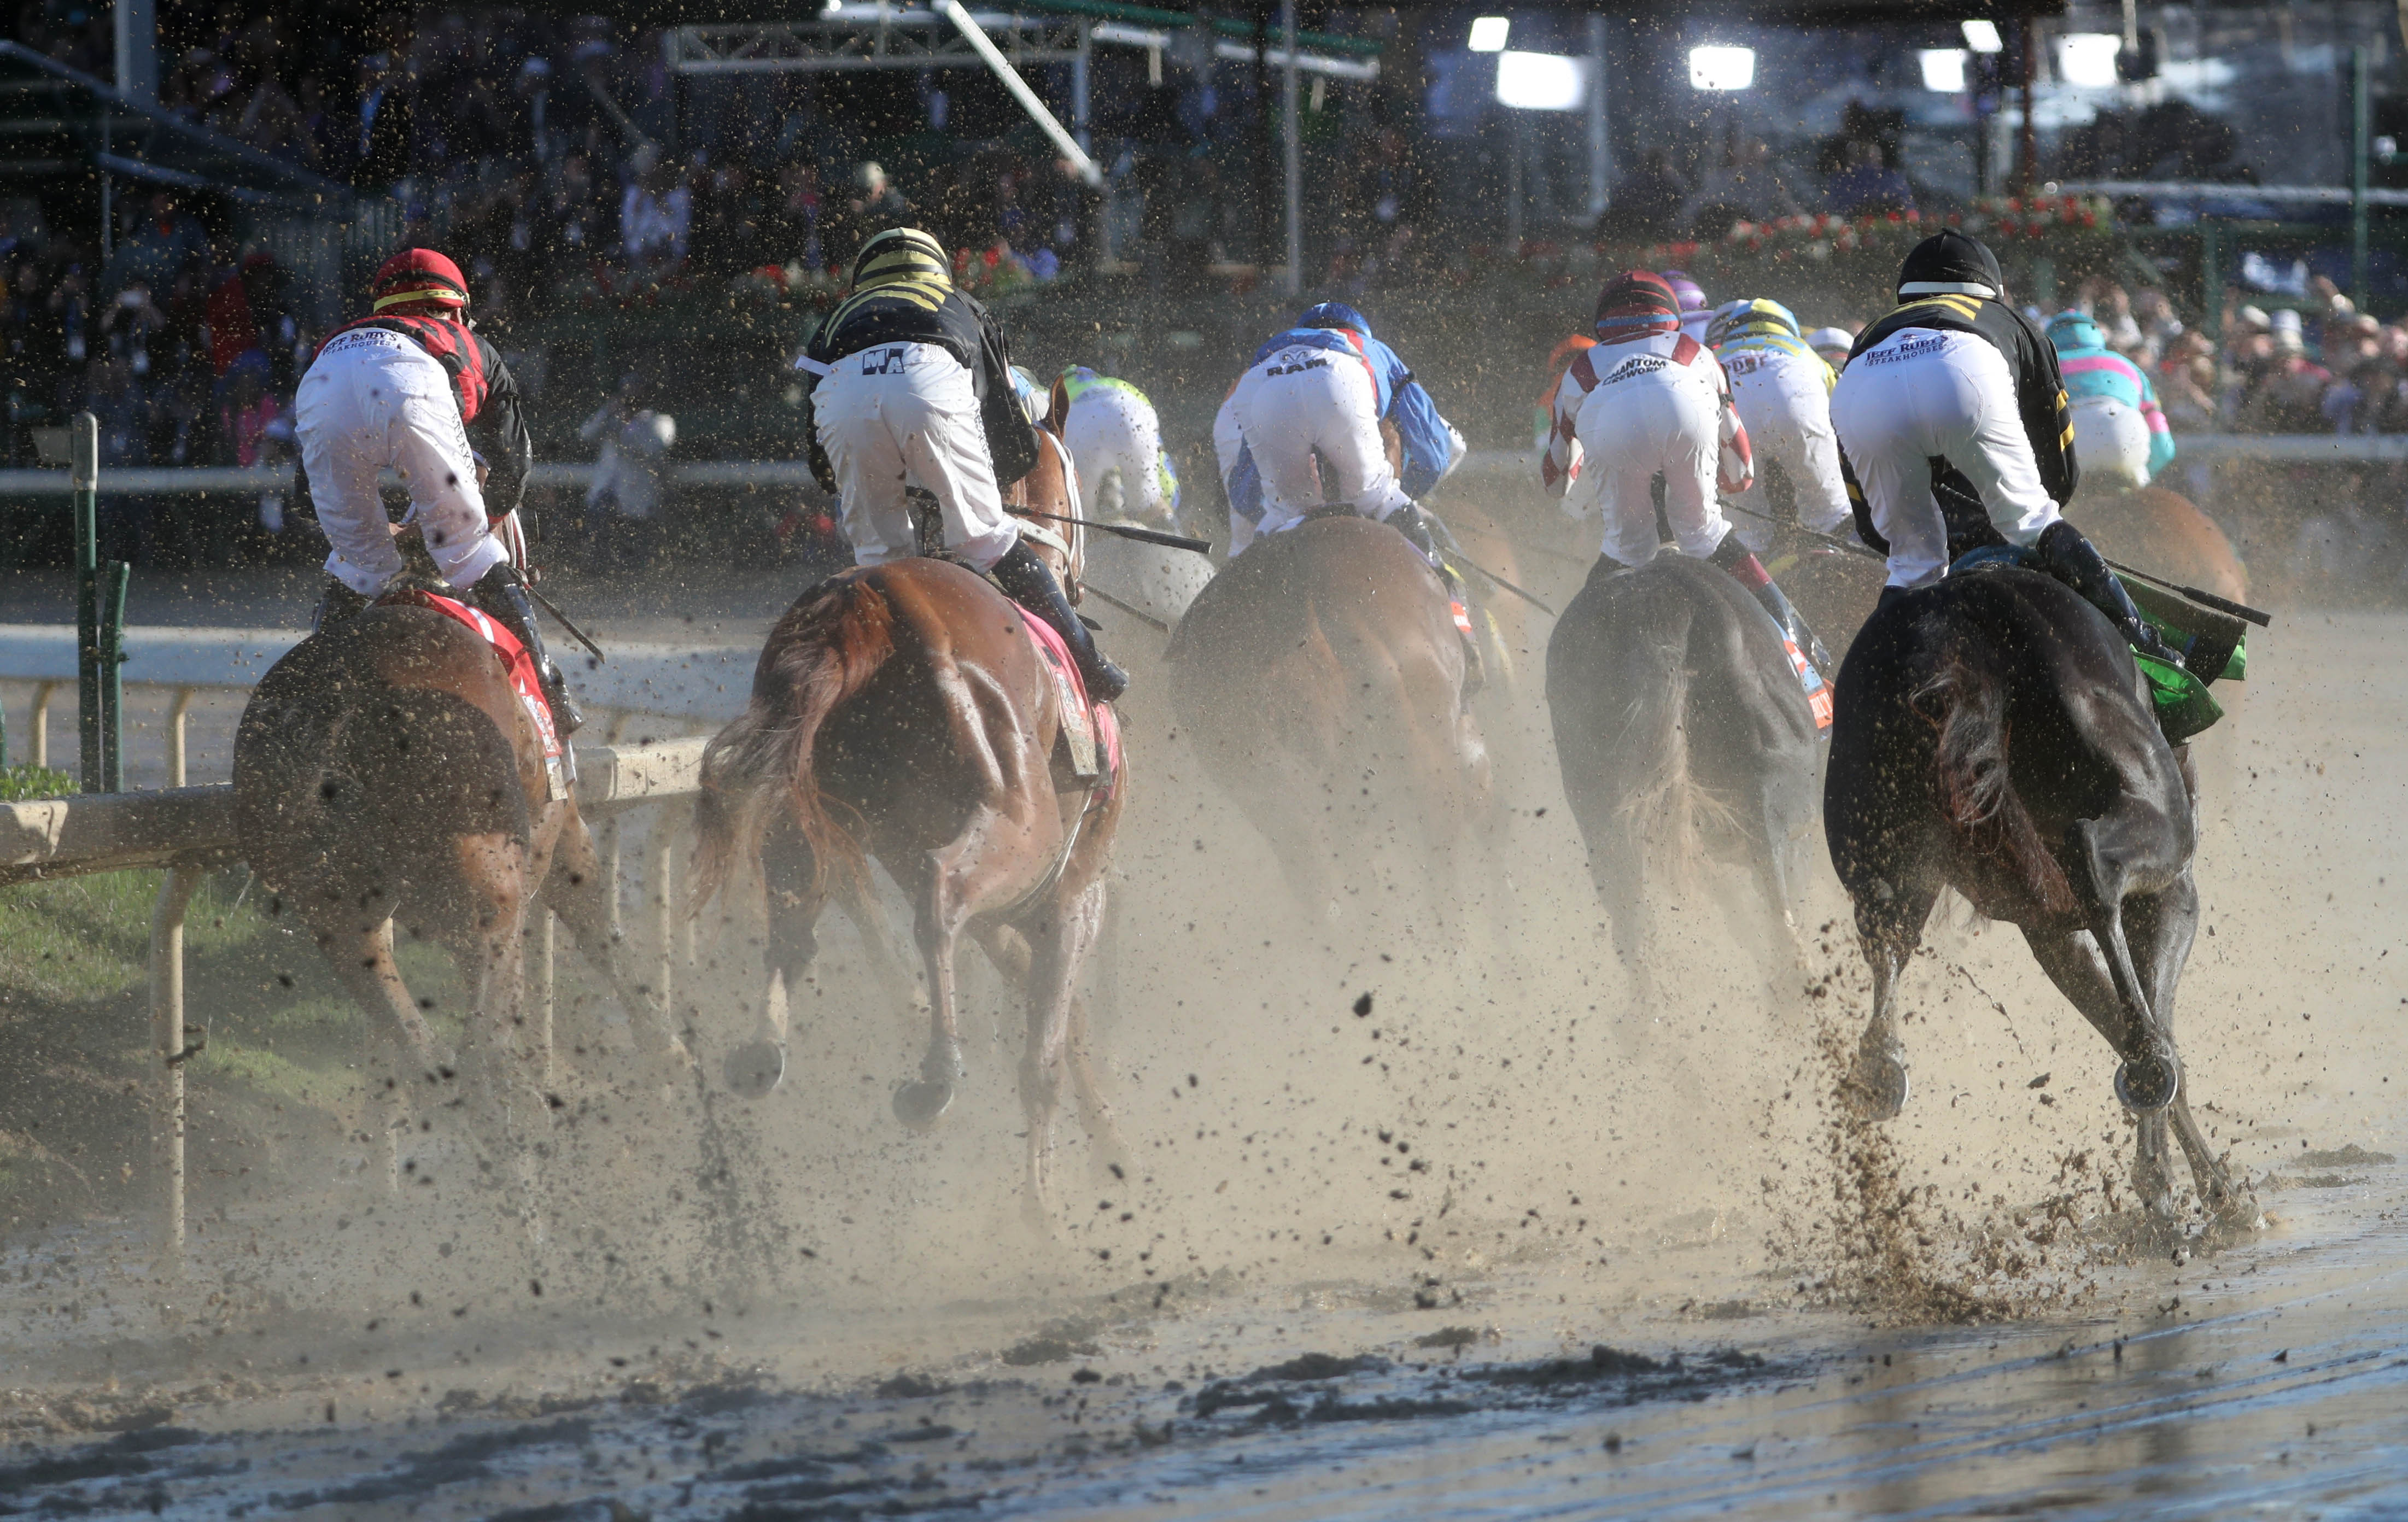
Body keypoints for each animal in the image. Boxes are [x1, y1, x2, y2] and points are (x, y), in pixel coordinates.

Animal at [236, 587, 693, 1243]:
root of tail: (341, 711)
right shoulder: (561, 835)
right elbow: (598, 931)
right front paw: (669, 1054)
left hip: (341, 922)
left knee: (430, 1059)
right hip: (483, 900)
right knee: (478, 1062)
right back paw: (527, 1214)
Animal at [688, 417, 1117, 1223]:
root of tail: (867, 611)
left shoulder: (1014, 909)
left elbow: (1056, 1015)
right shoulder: (1073, 891)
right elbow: (1045, 1048)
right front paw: (1050, 1204)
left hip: (806, 805)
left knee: (794, 916)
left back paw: (764, 1050)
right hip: (1016, 829)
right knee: (940, 900)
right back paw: (937, 1074)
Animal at [1830, 571, 2244, 1223]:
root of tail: (1956, 629)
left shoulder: (2047, 924)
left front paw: (2173, 1183)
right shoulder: (2172, 893)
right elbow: (2156, 1012)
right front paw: (2202, 1190)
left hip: (1884, 839)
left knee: (1885, 930)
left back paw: (1880, 1064)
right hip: (2149, 813)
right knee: (2097, 867)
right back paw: (2149, 1067)